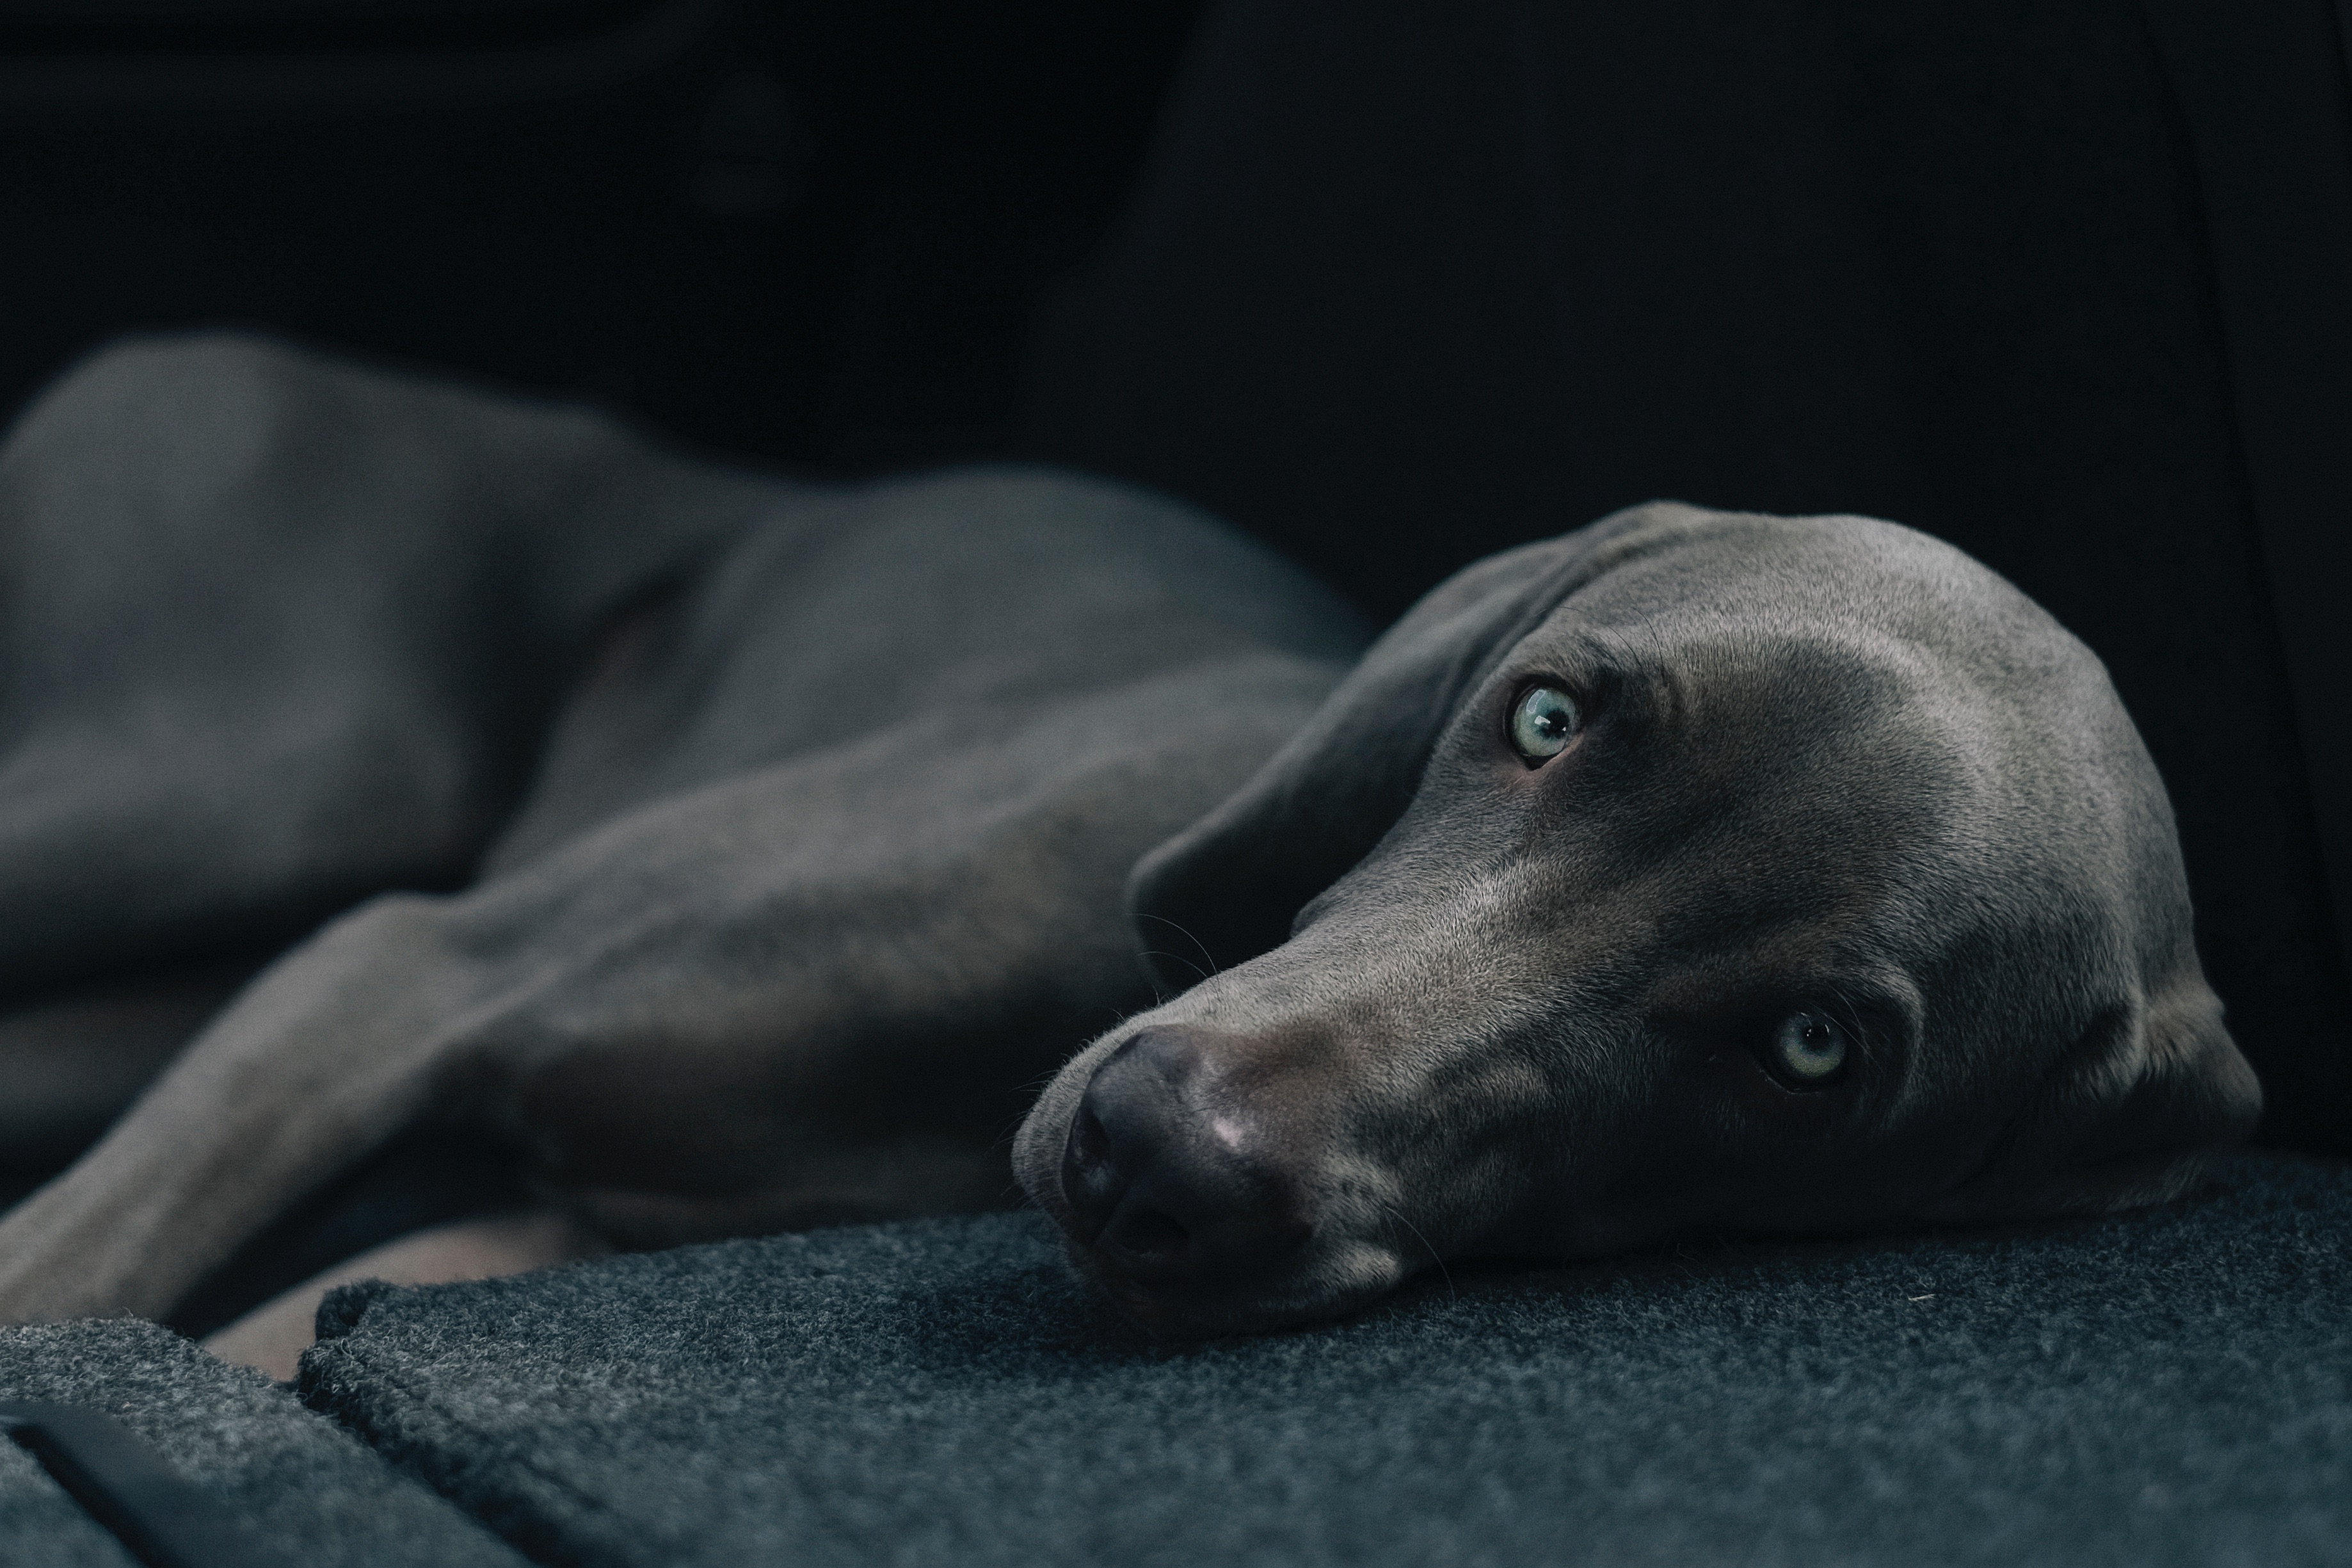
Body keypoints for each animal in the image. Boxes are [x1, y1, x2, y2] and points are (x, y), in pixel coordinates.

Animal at [0, 331, 2258, 1335]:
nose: (1147, 1154)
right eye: (1544, 716)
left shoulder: (527, 1233)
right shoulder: (404, 971)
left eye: (1810, 1055)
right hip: (244, 774)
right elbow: (64, 1288)